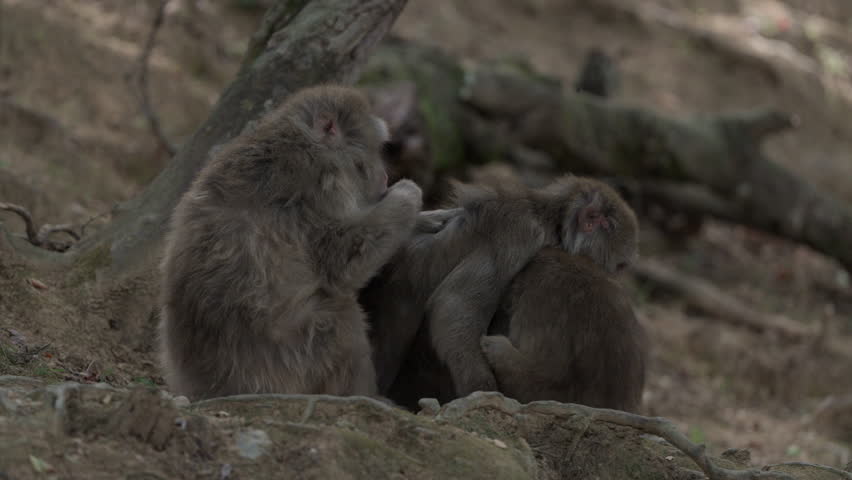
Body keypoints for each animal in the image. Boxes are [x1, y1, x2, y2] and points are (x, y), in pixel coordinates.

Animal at [158, 85, 424, 401]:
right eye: (371, 153)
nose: (384, 177)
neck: (302, 139)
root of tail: (209, 388)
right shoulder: (323, 187)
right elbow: (341, 263)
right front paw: (408, 194)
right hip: (292, 364)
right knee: (339, 314)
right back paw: (365, 395)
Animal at [361, 175, 639, 401]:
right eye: (594, 216)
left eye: (606, 224)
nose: (590, 222)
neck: (550, 222)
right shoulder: (521, 232)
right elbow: (453, 305)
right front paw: (482, 390)